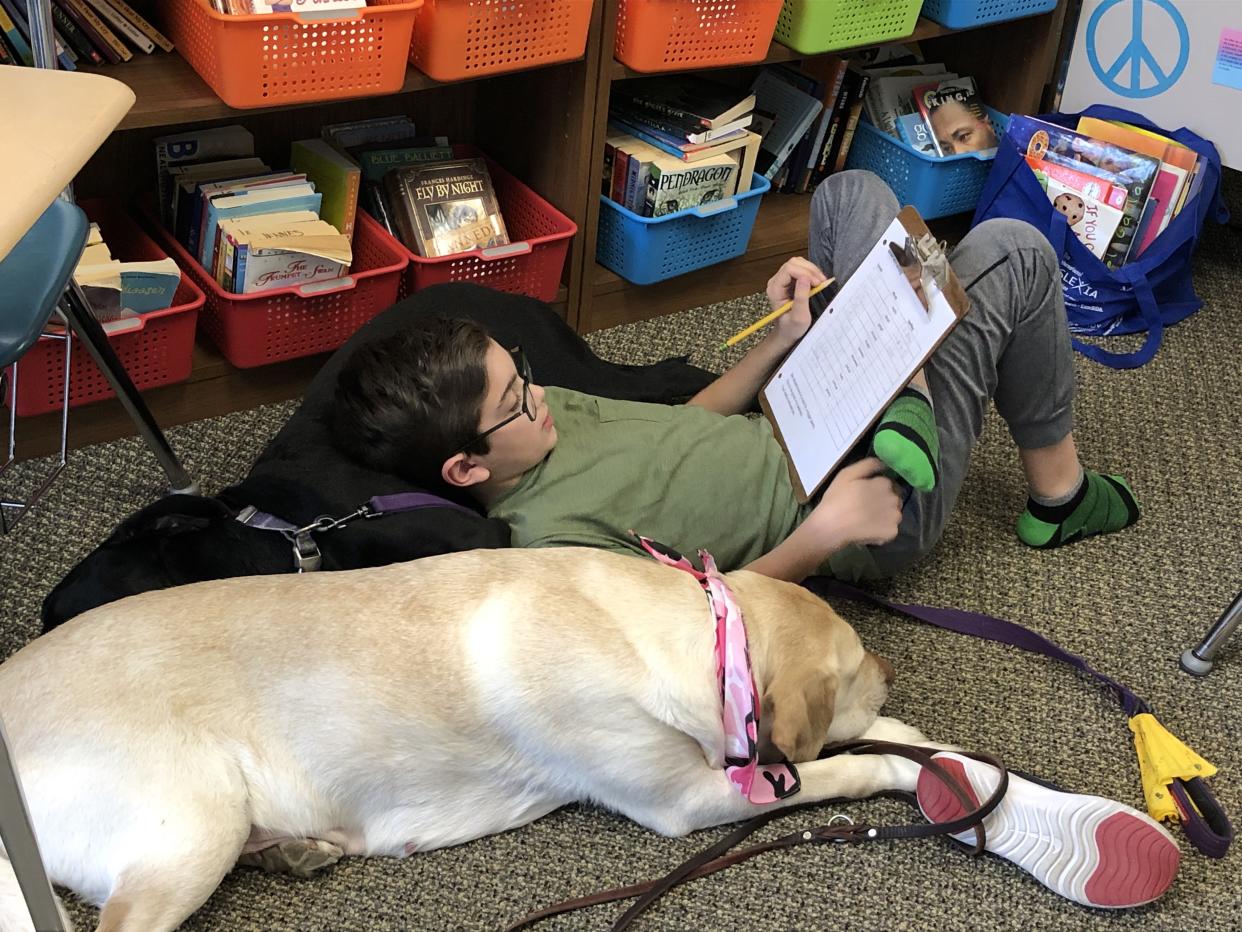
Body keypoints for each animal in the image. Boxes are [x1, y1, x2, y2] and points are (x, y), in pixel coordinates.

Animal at [0, 551, 929, 929]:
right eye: (855, 664)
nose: (890, 663)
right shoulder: (686, 799)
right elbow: (832, 772)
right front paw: (898, 767)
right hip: (193, 822)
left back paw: (296, 850)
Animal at [43, 283, 715, 636]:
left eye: (65, 622)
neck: (290, 536)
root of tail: (501, 287)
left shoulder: (479, 536)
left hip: (567, 371)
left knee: (659, 379)